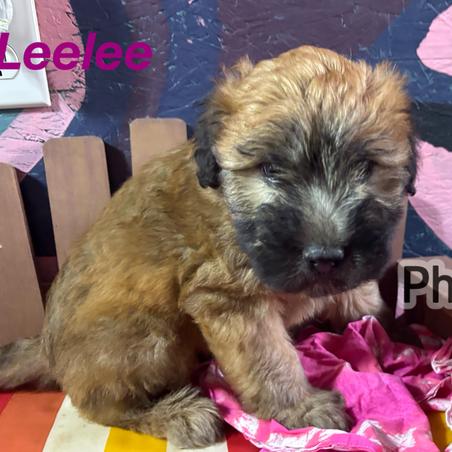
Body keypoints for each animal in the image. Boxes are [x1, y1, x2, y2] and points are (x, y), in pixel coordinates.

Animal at [0, 46, 416, 448]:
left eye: (365, 167)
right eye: (271, 170)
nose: (325, 257)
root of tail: (46, 350)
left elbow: (361, 296)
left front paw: (391, 332)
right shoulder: (230, 299)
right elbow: (270, 360)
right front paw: (298, 407)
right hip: (148, 336)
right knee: (102, 405)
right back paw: (175, 413)